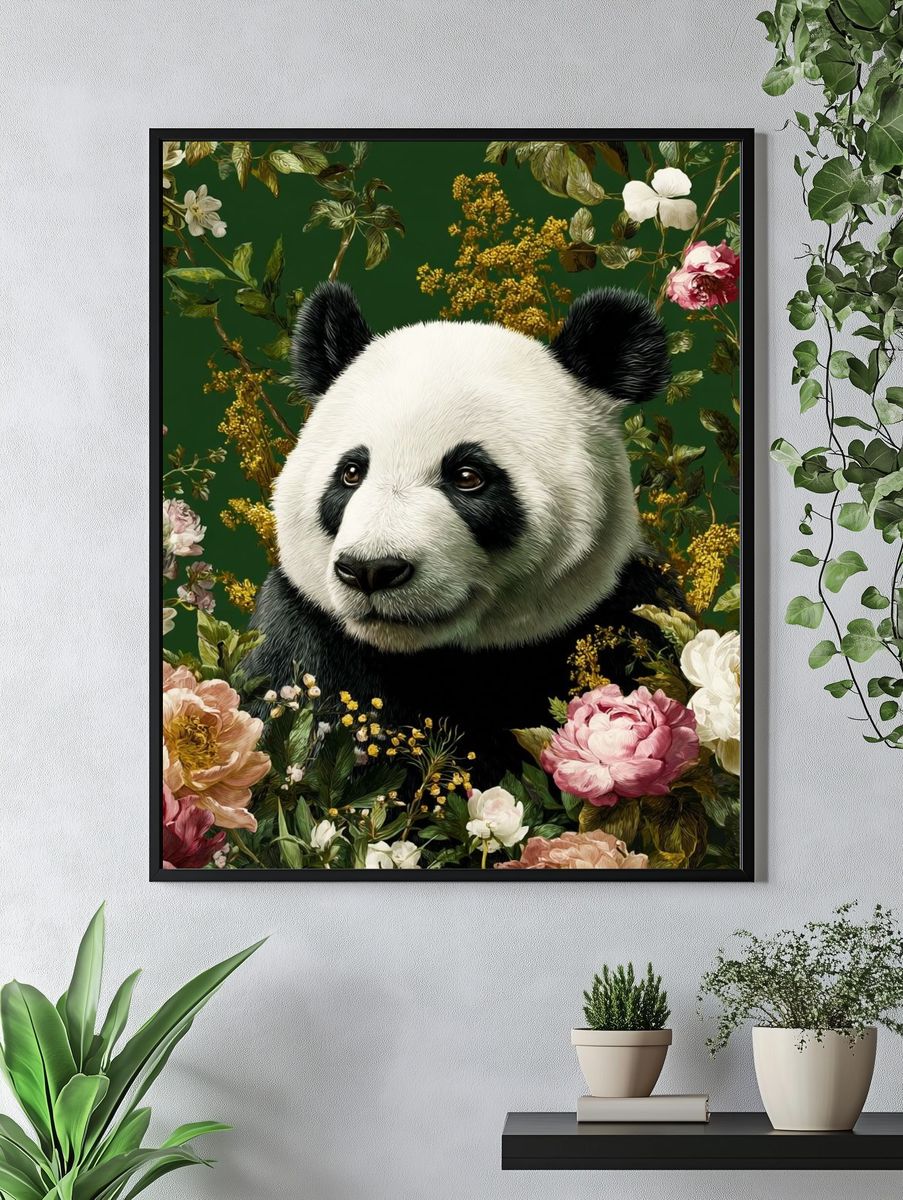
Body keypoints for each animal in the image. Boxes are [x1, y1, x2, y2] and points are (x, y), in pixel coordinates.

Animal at [242, 281, 681, 781]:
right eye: (351, 472)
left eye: (468, 476)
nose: (372, 570)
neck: (439, 660)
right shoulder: (301, 641)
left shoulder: (627, 623)